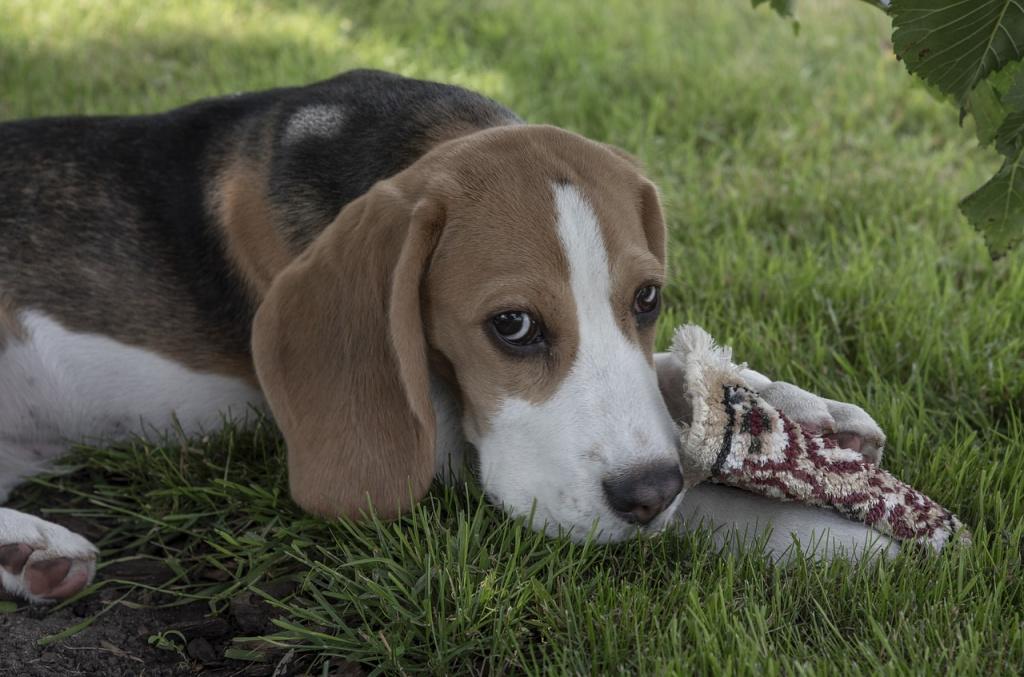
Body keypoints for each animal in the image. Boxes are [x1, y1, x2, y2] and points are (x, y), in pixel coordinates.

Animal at [0, 71, 892, 606]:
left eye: (648, 297)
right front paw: (843, 536)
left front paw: (798, 411)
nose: (646, 492)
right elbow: (705, 503)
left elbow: (673, 374)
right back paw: (36, 541)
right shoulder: (451, 459)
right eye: (512, 325)